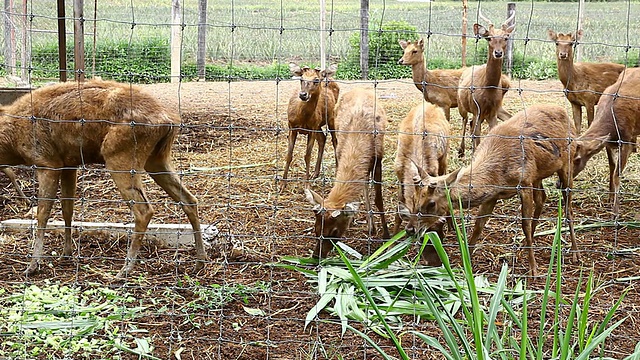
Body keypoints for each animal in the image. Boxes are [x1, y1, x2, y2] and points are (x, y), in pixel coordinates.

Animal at [0, 79, 208, 278]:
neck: (12, 142)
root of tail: (169, 121)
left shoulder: (47, 162)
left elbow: (42, 213)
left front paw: (33, 265)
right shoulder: (69, 163)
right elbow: (67, 209)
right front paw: (66, 253)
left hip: (119, 156)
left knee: (144, 210)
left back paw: (124, 270)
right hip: (157, 158)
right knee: (189, 199)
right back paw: (200, 260)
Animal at [304, 89, 390, 260]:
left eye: (334, 232)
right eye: (316, 229)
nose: (316, 256)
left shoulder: (378, 157)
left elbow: (378, 199)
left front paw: (387, 235)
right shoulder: (340, 150)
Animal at [404, 104, 580, 276]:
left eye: (431, 203)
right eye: (414, 200)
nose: (410, 229)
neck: (499, 175)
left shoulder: (524, 182)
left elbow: (525, 224)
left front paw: (533, 269)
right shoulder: (493, 195)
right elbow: (478, 226)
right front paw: (465, 263)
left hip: (567, 164)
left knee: (568, 208)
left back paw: (575, 253)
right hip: (538, 175)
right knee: (542, 198)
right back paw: (526, 242)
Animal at [458, 10, 516, 158]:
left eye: (506, 38)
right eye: (489, 38)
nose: (498, 53)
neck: (488, 90)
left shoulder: (492, 112)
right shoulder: (477, 109)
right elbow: (476, 135)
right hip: (462, 105)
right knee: (465, 121)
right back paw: (461, 151)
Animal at [572, 68, 640, 214]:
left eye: (578, 159)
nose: (558, 184)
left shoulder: (625, 140)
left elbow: (617, 174)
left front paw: (615, 211)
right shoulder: (608, 143)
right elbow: (612, 166)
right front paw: (609, 197)